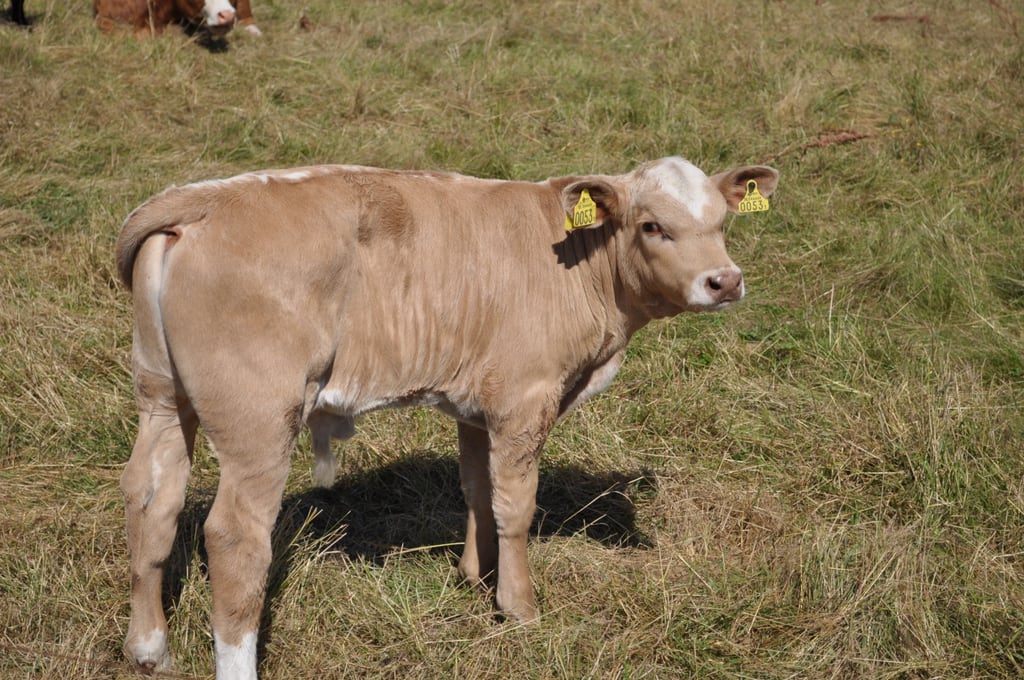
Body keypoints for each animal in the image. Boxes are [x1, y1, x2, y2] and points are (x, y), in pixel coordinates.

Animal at [115, 157, 778, 678]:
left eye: (722, 223)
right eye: (652, 226)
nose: (724, 281)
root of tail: (209, 197)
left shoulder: (477, 404)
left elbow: (478, 487)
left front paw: (473, 578)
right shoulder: (524, 397)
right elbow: (516, 505)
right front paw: (519, 607)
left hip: (161, 396)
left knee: (153, 498)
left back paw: (149, 648)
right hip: (259, 419)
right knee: (234, 536)